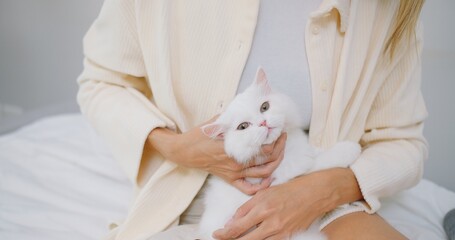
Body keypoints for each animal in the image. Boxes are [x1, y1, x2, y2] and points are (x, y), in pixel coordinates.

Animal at [200, 67, 360, 240]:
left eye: (264, 107)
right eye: (243, 127)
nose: (263, 123)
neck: (288, 149)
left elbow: (317, 153)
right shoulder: (291, 173)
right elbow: (324, 160)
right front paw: (352, 148)